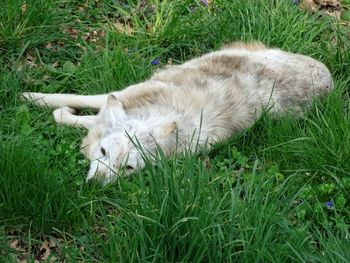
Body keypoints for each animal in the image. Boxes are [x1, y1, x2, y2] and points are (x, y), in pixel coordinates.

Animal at [21, 42, 334, 185]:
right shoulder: (124, 94)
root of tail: (328, 75)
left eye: (128, 169)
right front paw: (31, 97)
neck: (163, 114)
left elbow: (69, 117)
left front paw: (61, 111)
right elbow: (75, 100)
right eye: (103, 152)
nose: (95, 185)